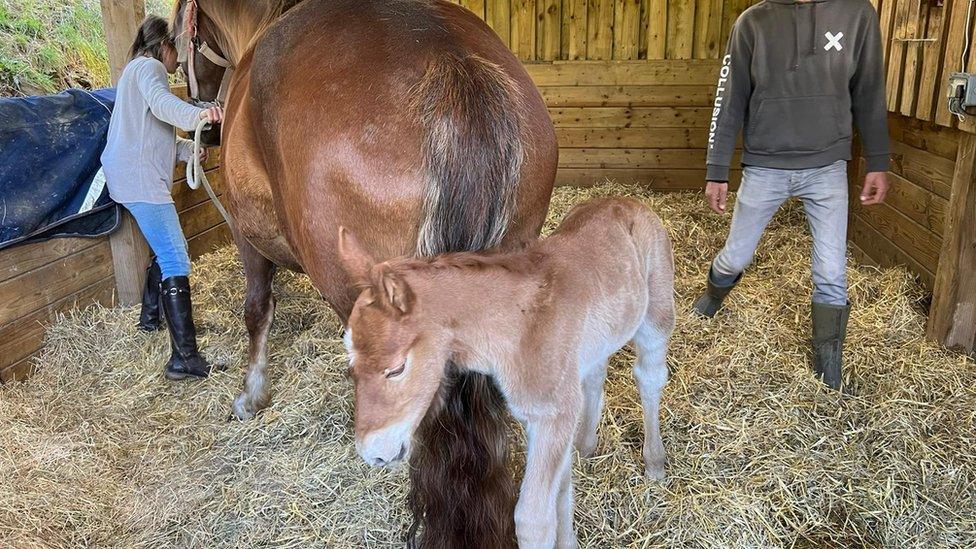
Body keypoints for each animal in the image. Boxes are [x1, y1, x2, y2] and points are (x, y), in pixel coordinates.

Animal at [344, 198, 680, 548]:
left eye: (396, 369)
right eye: (350, 362)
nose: (373, 454)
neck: (519, 326)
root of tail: (628, 201)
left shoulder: (552, 416)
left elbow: (533, 519)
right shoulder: (542, 416)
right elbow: (562, 489)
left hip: (657, 315)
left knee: (649, 377)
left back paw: (655, 463)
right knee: (595, 375)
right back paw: (586, 444)